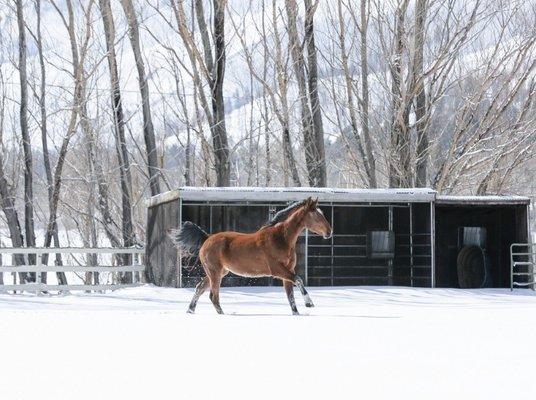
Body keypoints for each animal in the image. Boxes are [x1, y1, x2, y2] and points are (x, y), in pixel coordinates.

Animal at [171, 197, 330, 316]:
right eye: (316, 215)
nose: (329, 232)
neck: (281, 238)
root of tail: (207, 238)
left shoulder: (287, 272)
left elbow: (290, 296)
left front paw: (297, 313)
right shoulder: (277, 270)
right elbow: (299, 279)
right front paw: (309, 303)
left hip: (219, 272)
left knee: (200, 288)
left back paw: (190, 310)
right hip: (215, 273)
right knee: (213, 296)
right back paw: (222, 314)